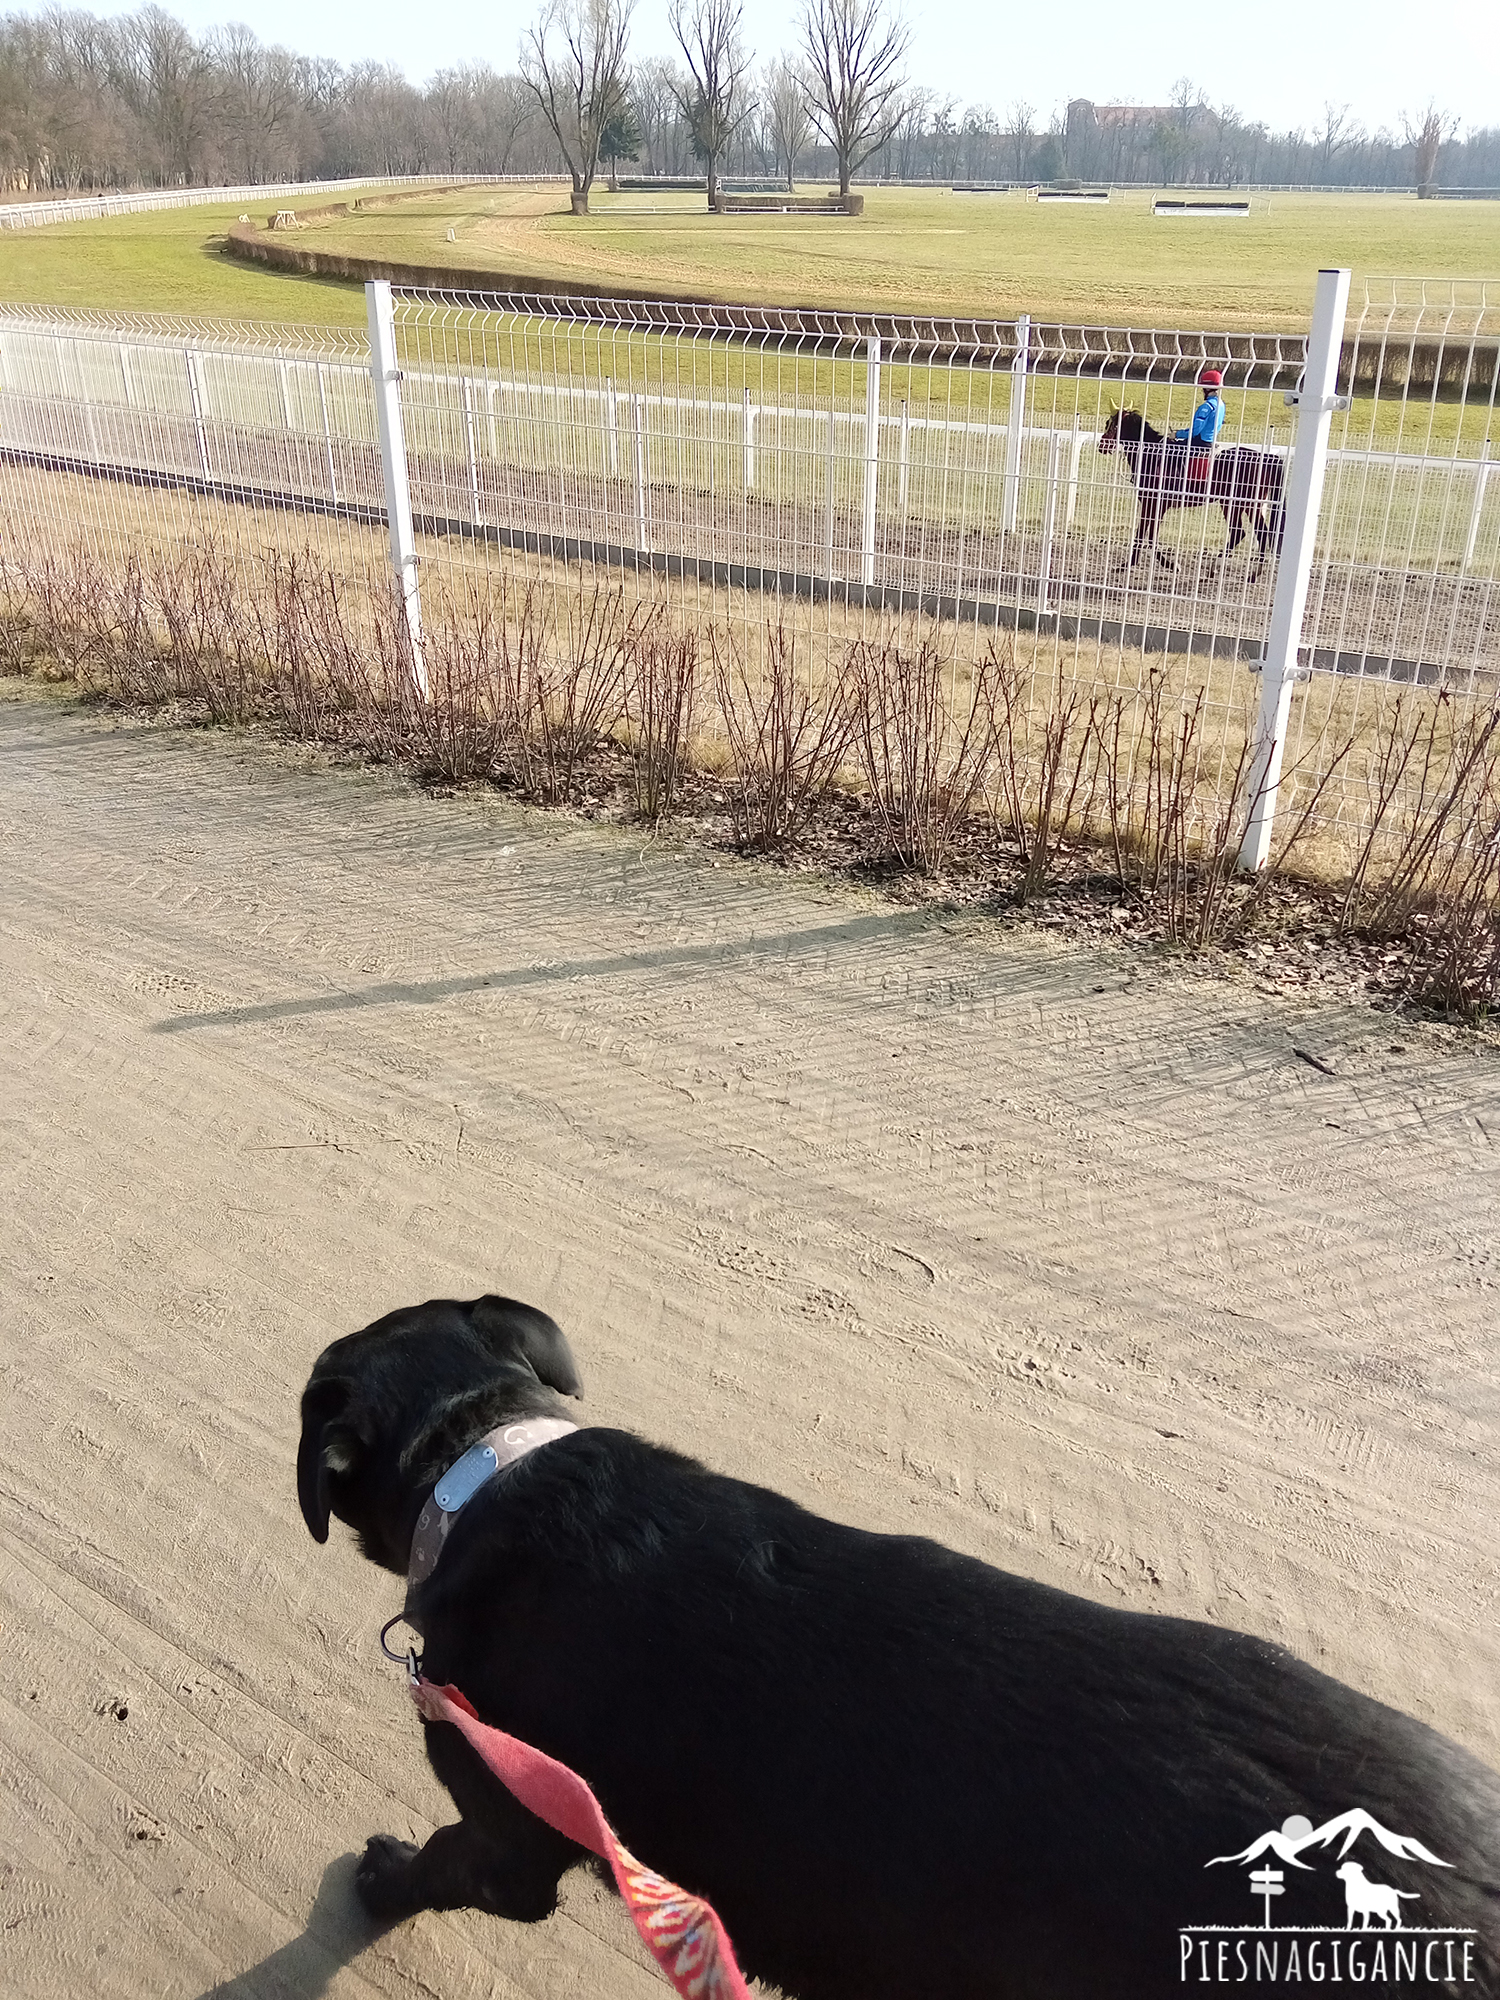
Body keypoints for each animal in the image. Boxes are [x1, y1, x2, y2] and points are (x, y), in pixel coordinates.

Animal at [1096, 406, 1296, 576]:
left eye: (1111, 424)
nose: (1102, 445)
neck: (1154, 456)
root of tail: (1267, 457)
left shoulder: (1154, 504)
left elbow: (1149, 537)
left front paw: (1171, 565)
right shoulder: (1151, 504)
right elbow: (1143, 535)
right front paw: (1128, 565)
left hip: (1238, 504)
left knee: (1248, 533)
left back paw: (1231, 569)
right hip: (1243, 505)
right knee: (1253, 532)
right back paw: (1243, 572)